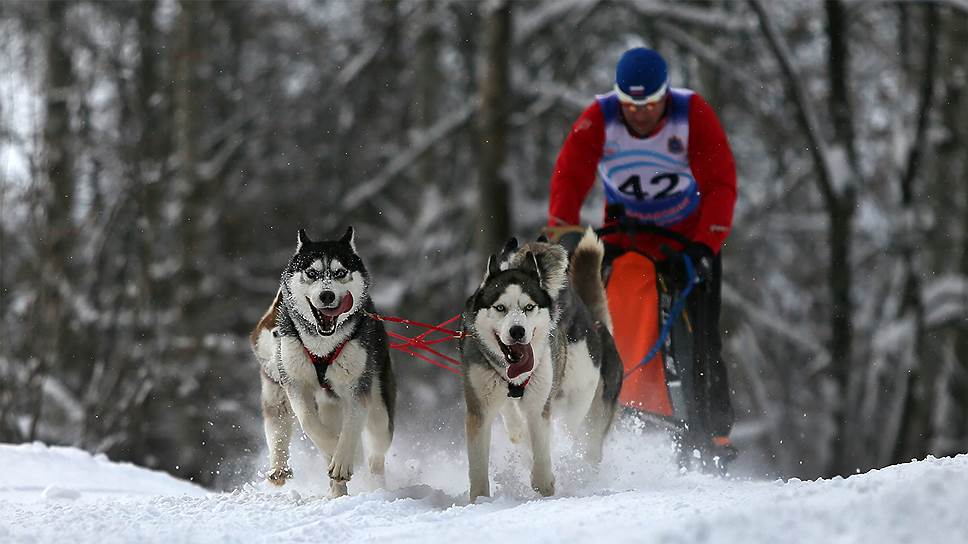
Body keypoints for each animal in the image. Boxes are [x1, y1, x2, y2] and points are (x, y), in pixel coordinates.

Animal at [253, 226, 400, 498]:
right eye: (312, 273)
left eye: (340, 272)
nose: (327, 295)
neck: (322, 347)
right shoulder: (294, 385)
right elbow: (308, 421)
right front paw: (334, 452)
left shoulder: (357, 389)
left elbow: (350, 430)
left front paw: (342, 460)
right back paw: (337, 490)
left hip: (380, 414)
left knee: (376, 452)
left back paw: (373, 483)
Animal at [460, 227, 620, 500]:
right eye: (500, 308)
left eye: (529, 307)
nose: (517, 331)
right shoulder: (481, 404)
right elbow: (480, 462)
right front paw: (479, 499)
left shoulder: (541, 404)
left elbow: (542, 448)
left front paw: (545, 484)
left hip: (586, 405)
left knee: (582, 440)